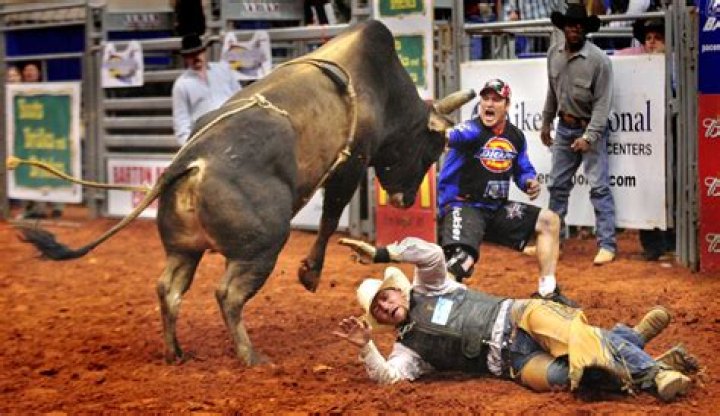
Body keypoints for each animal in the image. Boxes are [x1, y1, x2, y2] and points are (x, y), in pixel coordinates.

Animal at [20, 20, 475, 365]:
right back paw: (250, 356)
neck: (379, 85)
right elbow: (330, 217)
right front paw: (310, 273)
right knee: (228, 294)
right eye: (431, 148)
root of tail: (192, 161)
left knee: (169, 289)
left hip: (184, 248)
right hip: (262, 244)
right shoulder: (351, 161)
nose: (405, 199)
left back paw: (176, 352)